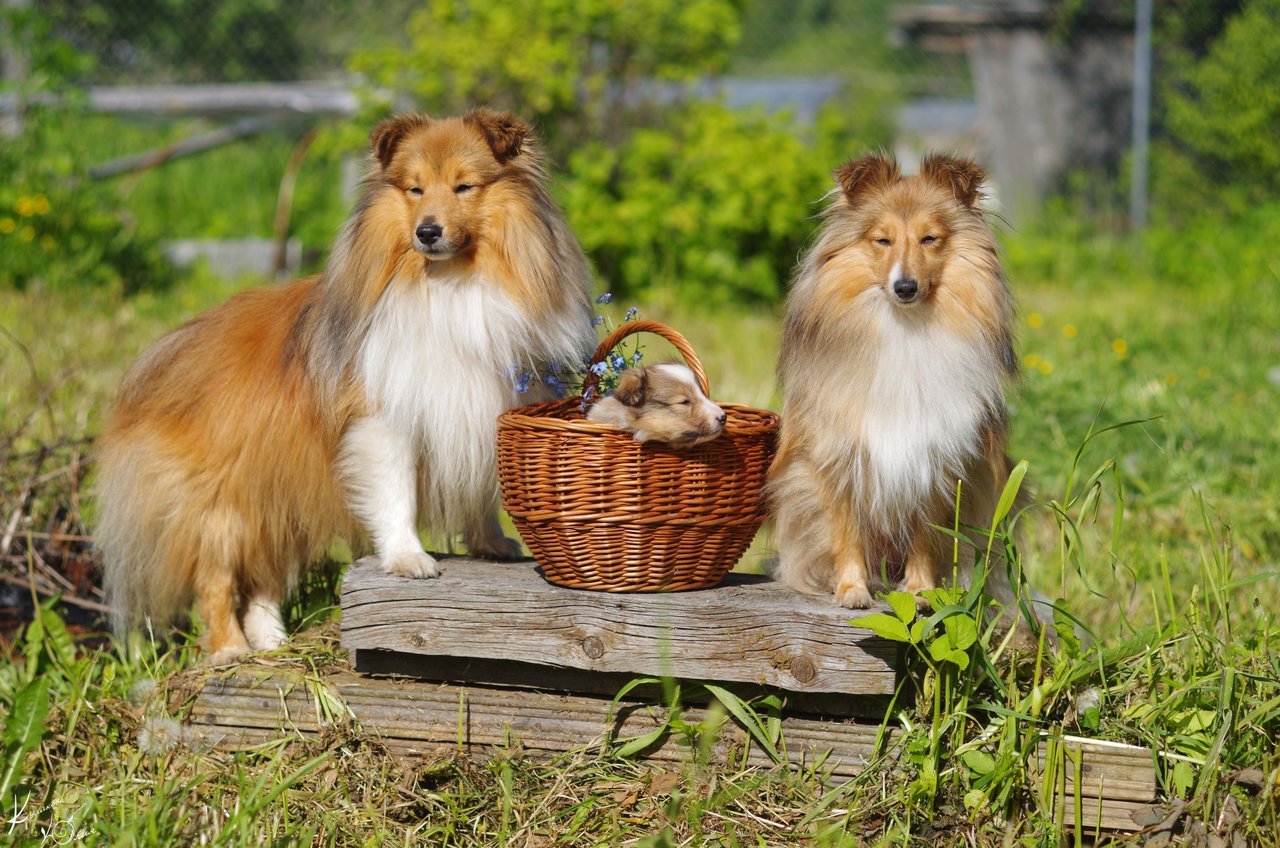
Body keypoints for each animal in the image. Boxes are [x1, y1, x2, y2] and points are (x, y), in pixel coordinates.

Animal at [94, 109, 593, 666]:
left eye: (464, 186)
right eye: (415, 189)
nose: (427, 232)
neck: (450, 285)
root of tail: (167, 351)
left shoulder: (481, 406)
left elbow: (480, 487)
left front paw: (493, 544)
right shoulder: (384, 419)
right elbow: (396, 494)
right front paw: (408, 558)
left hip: (281, 497)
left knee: (264, 578)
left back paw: (273, 642)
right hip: (226, 505)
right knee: (216, 577)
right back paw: (231, 650)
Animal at [762, 151, 1044, 630]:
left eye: (930, 239)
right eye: (883, 241)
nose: (905, 287)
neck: (906, 330)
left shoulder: (936, 462)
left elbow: (924, 537)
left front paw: (919, 592)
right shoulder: (838, 457)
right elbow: (845, 532)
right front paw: (852, 590)